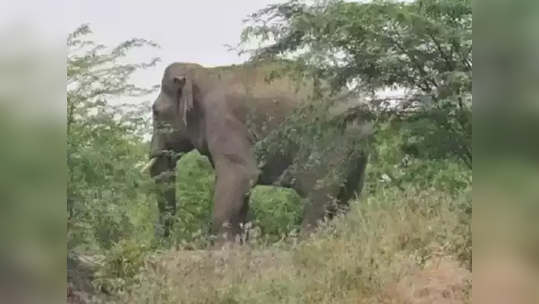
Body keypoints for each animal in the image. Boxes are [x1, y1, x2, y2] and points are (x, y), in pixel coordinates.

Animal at [141, 60, 374, 247]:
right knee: (346, 197)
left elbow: (240, 175)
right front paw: (239, 246)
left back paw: (304, 242)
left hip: (327, 142)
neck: (203, 73)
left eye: (155, 112)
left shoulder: (224, 122)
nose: (164, 243)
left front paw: (223, 248)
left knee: (318, 193)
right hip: (355, 149)